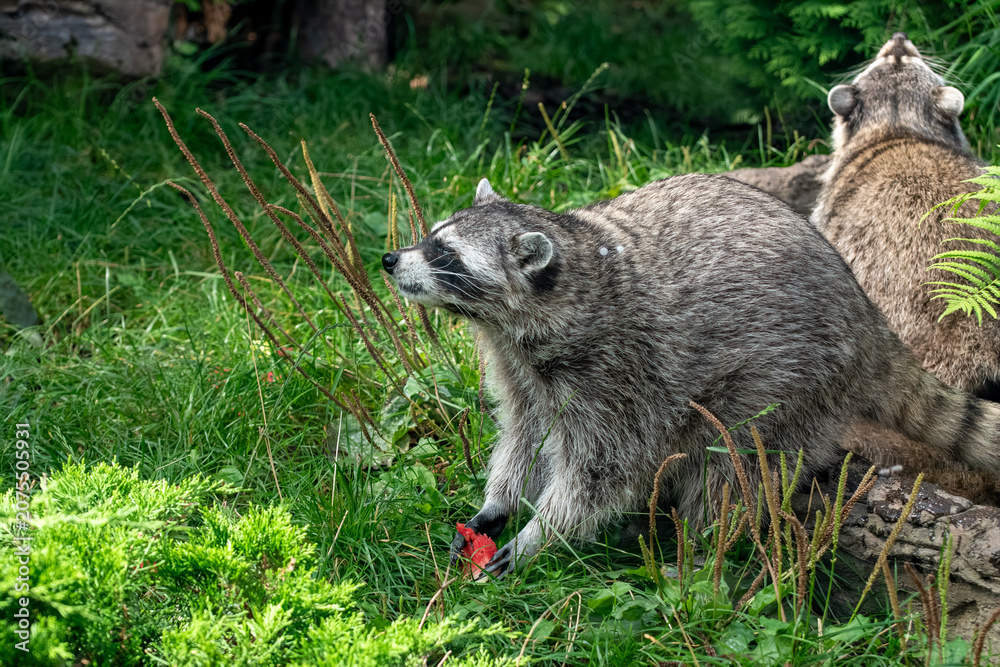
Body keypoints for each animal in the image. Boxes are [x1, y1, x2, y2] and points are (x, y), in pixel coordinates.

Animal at [383, 175, 1000, 577]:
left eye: (445, 254)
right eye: (431, 235)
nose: (390, 259)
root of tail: (866, 312)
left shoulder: (623, 370)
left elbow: (603, 471)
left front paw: (544, 532)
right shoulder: (519, 368)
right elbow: (525, 435)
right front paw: (501, 503)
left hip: (792, 381)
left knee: (734, 469)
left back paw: (702, 551)